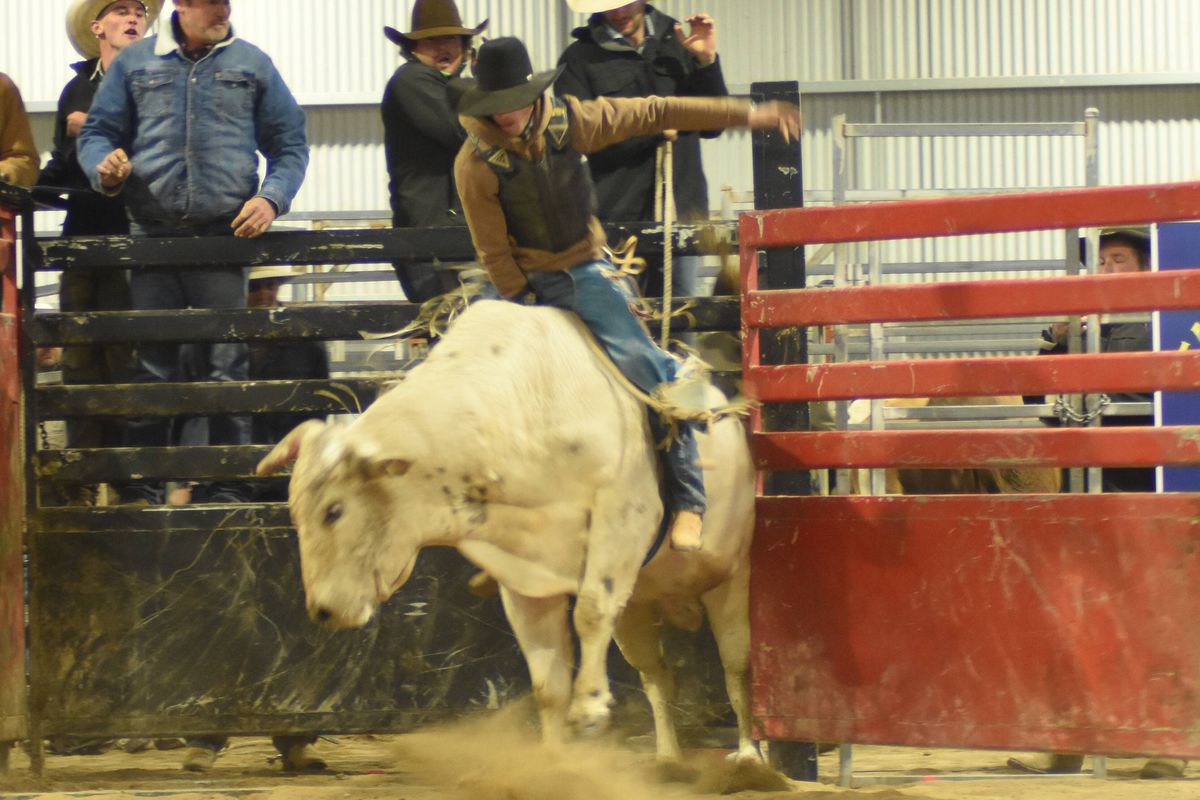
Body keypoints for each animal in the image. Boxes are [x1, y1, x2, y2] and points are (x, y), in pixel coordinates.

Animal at [258, 299, 758, 762]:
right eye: (294, 510)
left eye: (334, 510)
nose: (322, 610)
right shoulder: (522, 573)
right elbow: (548, 683)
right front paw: (554, 760)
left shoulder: (622, 518)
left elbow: (591, 611)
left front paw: (588, 710)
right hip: (639, 607)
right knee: (657, 676)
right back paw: (669, 760)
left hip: (731, 580)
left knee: (736, 669)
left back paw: (750, 756)